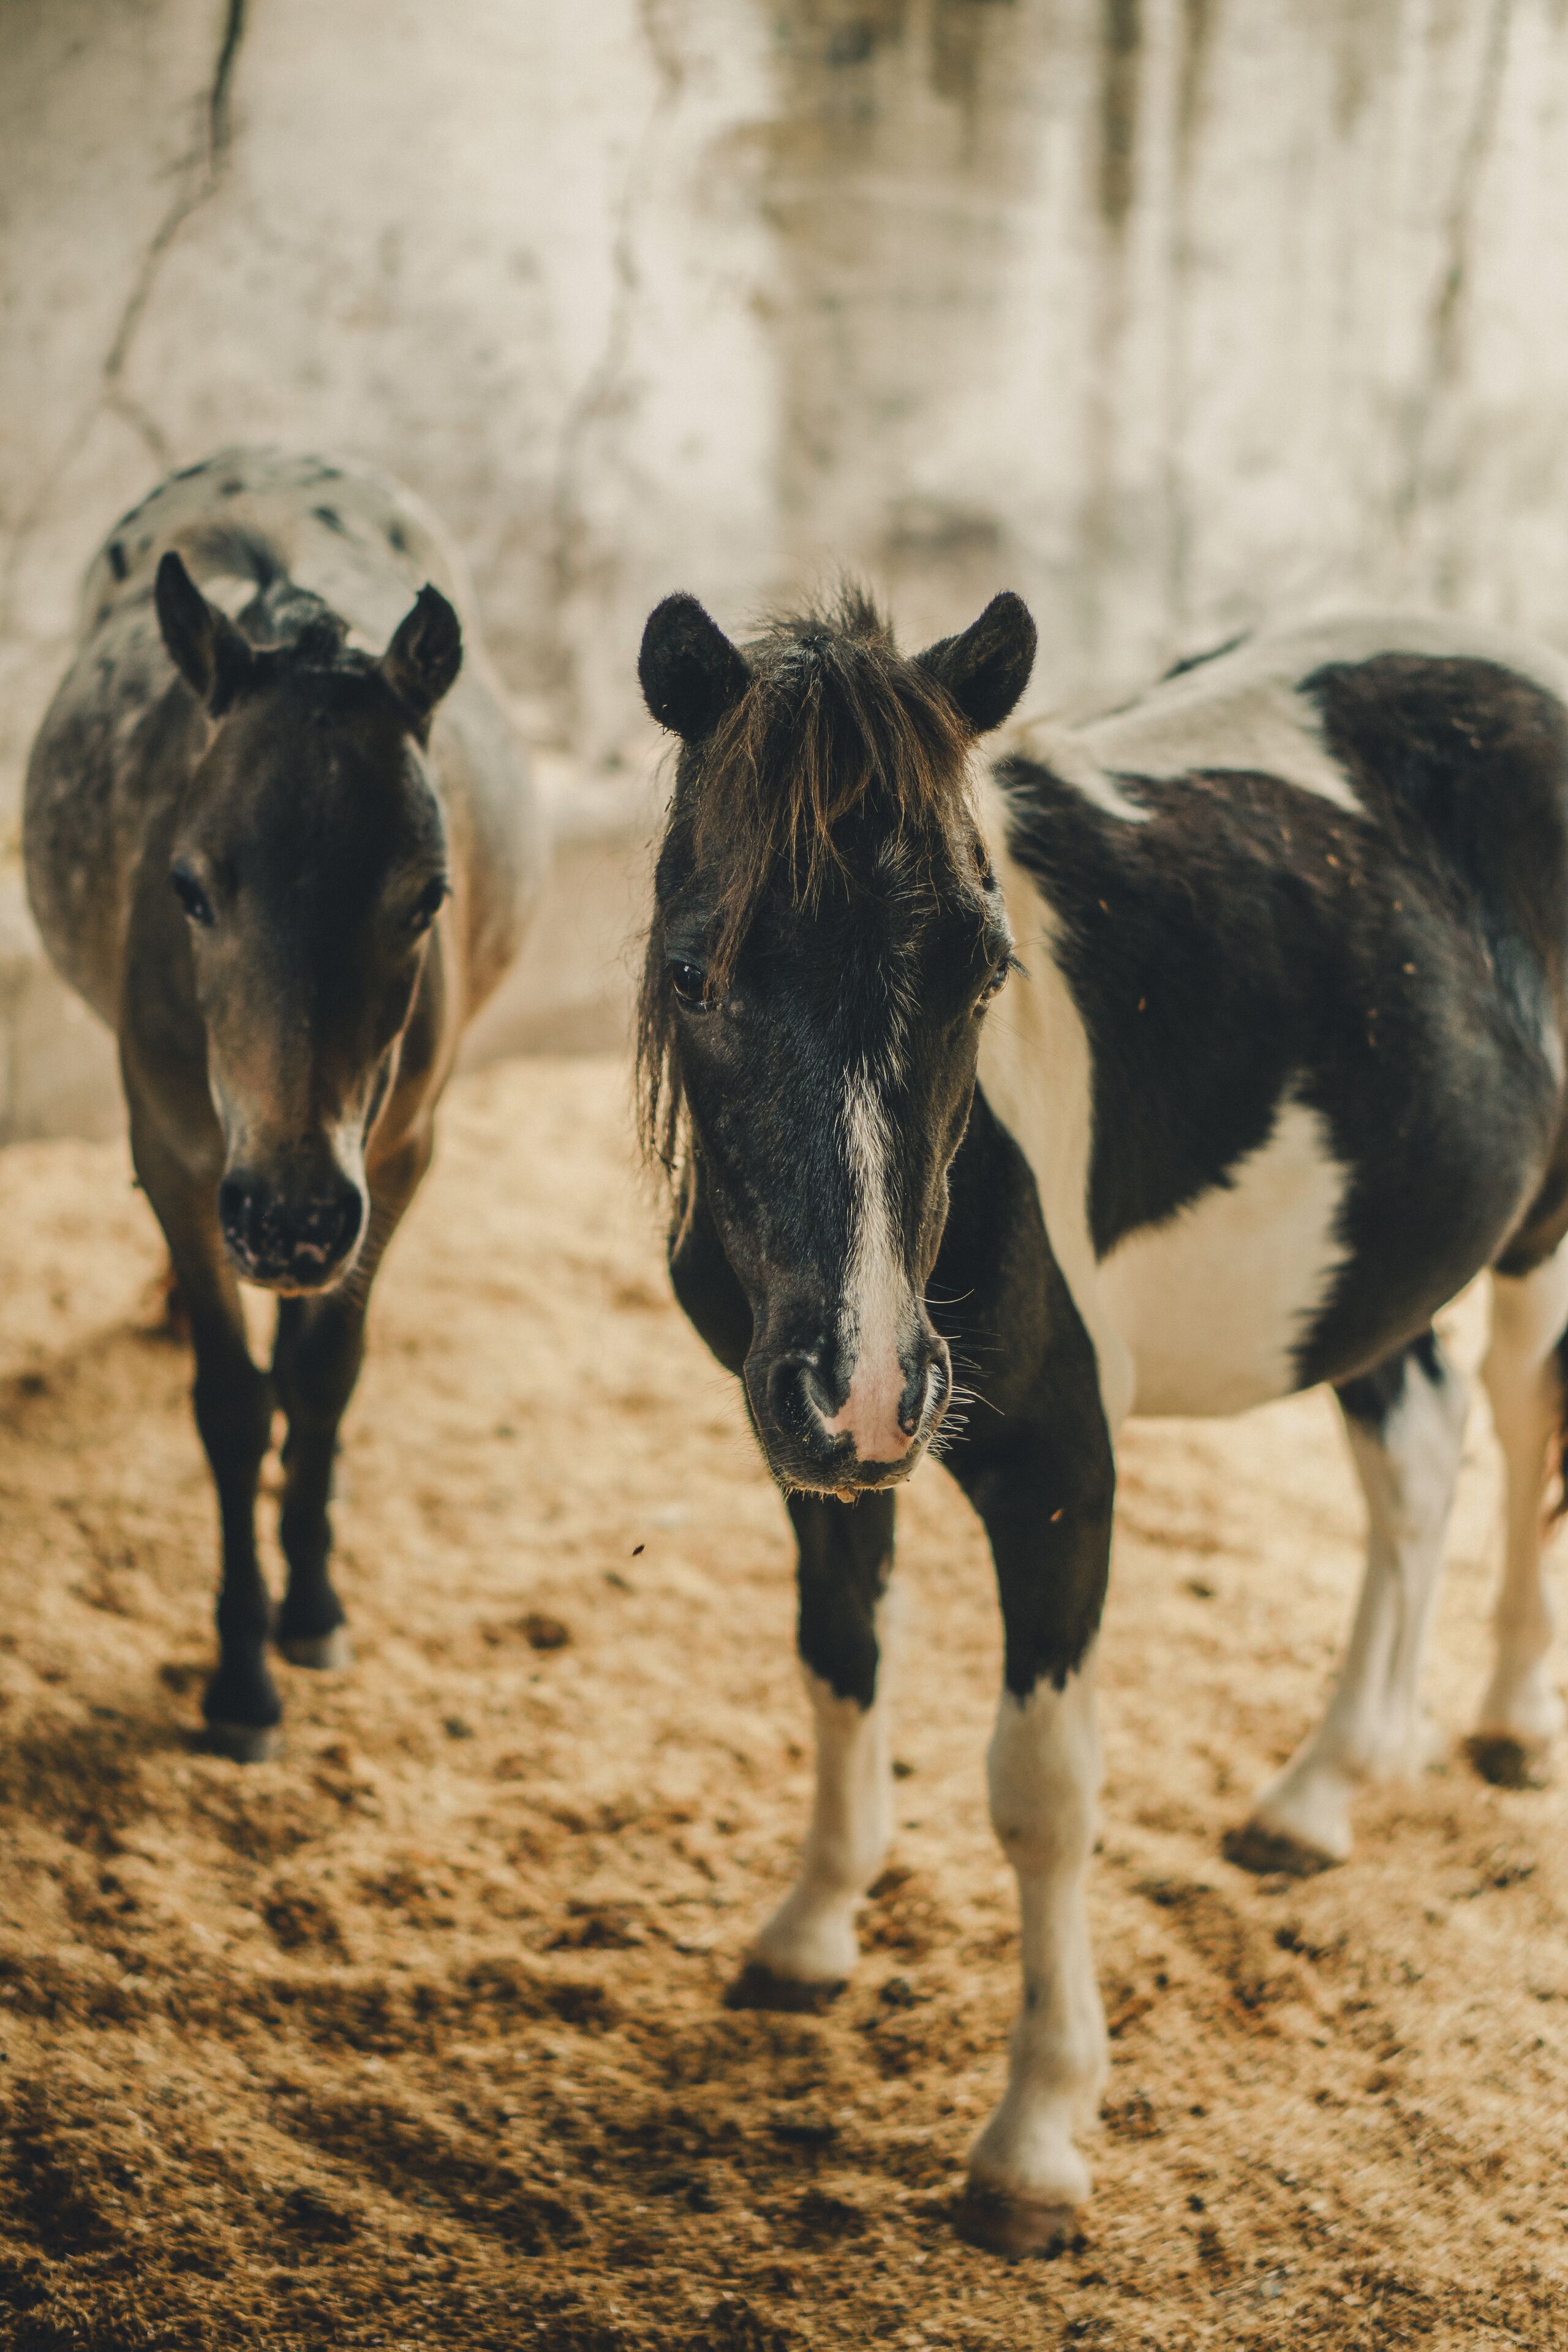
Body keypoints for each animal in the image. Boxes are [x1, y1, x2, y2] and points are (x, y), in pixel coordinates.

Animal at [24, 447, 543, 1761]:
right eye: (187, 887)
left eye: (428, 897)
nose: (290, 1219)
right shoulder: (171, 1151)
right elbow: (232, 1403)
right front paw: (240, 1678)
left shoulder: (397, 1156)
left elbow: (322, 1377)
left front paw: (310, 1608)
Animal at [635, 584, 1568, 2253]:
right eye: (696, 974)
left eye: (983, 972)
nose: (871, 1381)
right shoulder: (809, 1455)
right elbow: (836, 1666)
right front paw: (811, 1926)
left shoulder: (1057, 1473)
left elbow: (1041, 1788)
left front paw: (1033, 2134)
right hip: (1373, 1257)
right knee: (1417, 1454)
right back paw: (1322, 1788)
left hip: (1530, 1232)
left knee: (1522, 1418)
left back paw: (1511, 1720)